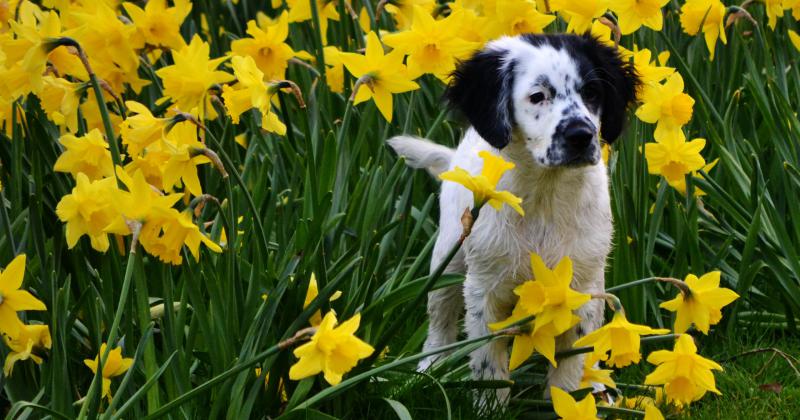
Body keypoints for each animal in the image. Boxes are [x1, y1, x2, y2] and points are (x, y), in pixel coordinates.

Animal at [388, 33, 636, 404]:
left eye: (593, 92)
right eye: (537, 96)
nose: (581, 135)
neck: (545, 196)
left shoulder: (582, 286)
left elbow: (572, 359)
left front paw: (569, 401)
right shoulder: (483, 287)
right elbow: (488, 361)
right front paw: (490, 405)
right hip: (449, 255)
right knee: (440, 319)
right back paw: (428, 371)